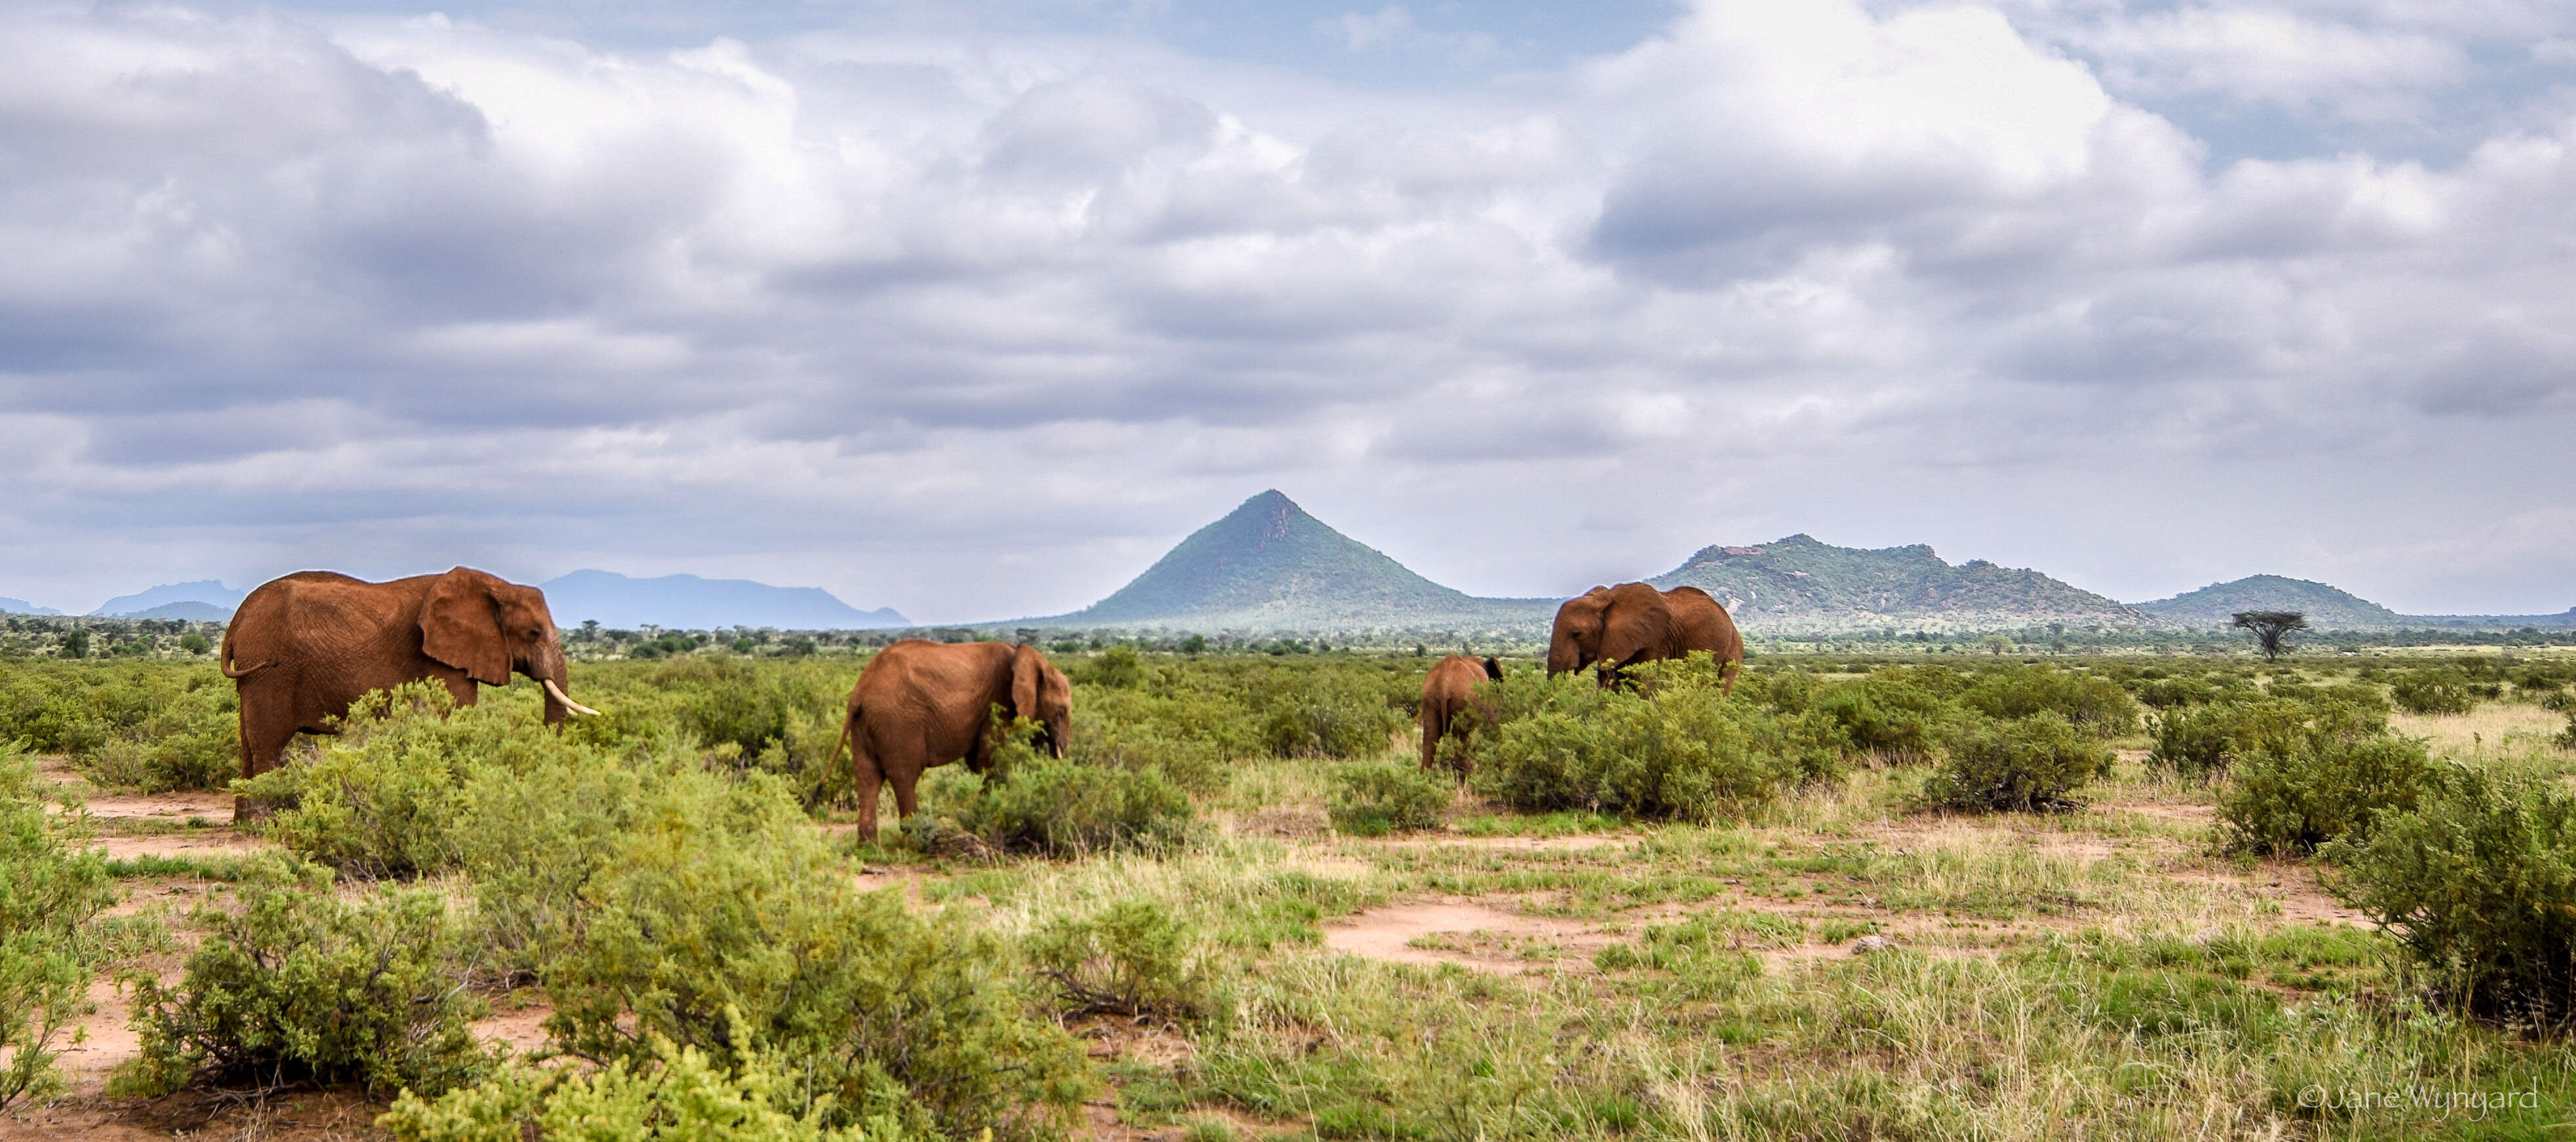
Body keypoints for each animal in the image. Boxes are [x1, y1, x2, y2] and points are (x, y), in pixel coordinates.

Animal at [824, 639, 1066, 845]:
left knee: (868, 776)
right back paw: (919, 838)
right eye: (1062, 712)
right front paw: (988, 820)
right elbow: (990, 759)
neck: (1022, 654)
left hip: (865, 724)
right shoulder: (999, 702)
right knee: (904, 776)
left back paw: (870, 846)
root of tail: (860, 690)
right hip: (898, 722)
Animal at [1545, 580, 1752, 696]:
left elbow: (1646, 683)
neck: (1605, 600)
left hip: (1733, 649)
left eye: (1577, 634)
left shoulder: (1654, 640)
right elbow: (1607, 684)